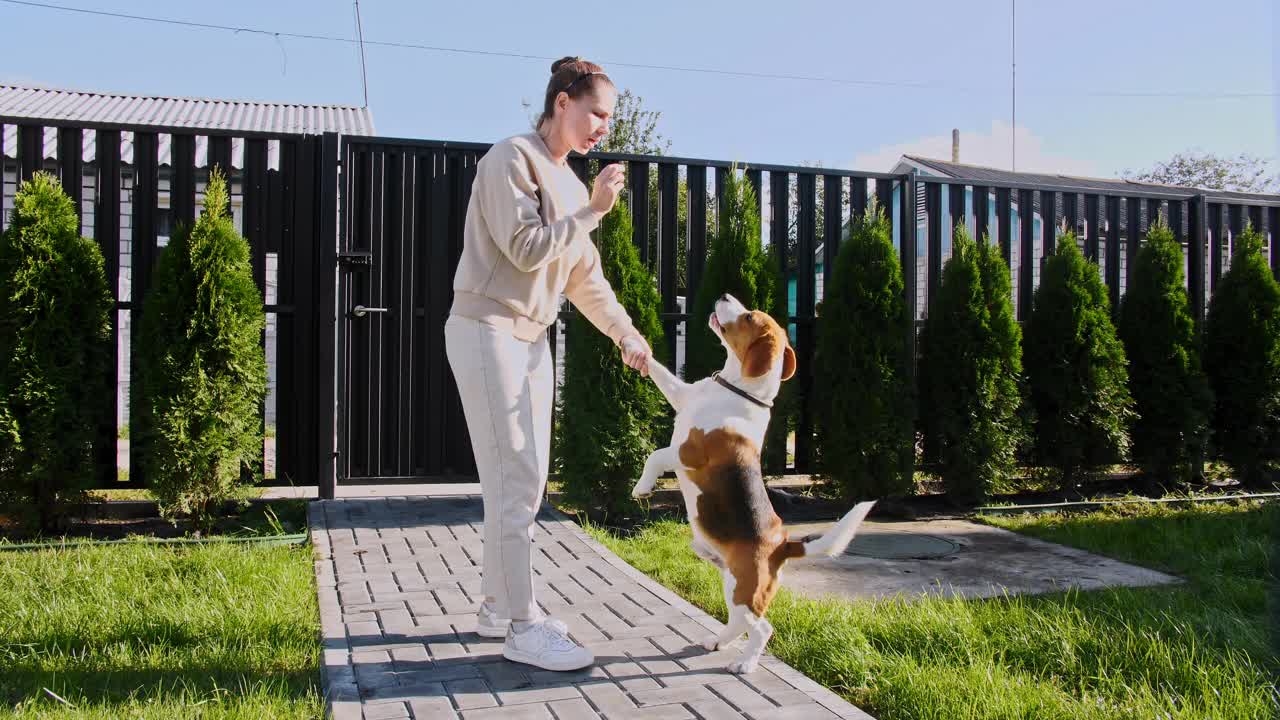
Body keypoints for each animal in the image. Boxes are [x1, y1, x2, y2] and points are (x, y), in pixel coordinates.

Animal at [632, 293, 880, 671]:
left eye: (749, 316)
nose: (724, 295)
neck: (736, 388)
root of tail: (784, 545)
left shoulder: (689, 454)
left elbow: (656, 455)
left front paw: (642, 488)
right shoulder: (683, 395)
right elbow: (661, 372)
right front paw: (637, 350)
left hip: (745, 591)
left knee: (763, 628)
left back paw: (745, 664)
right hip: (729, 582)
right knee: (738, 623)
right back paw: (717, 642)